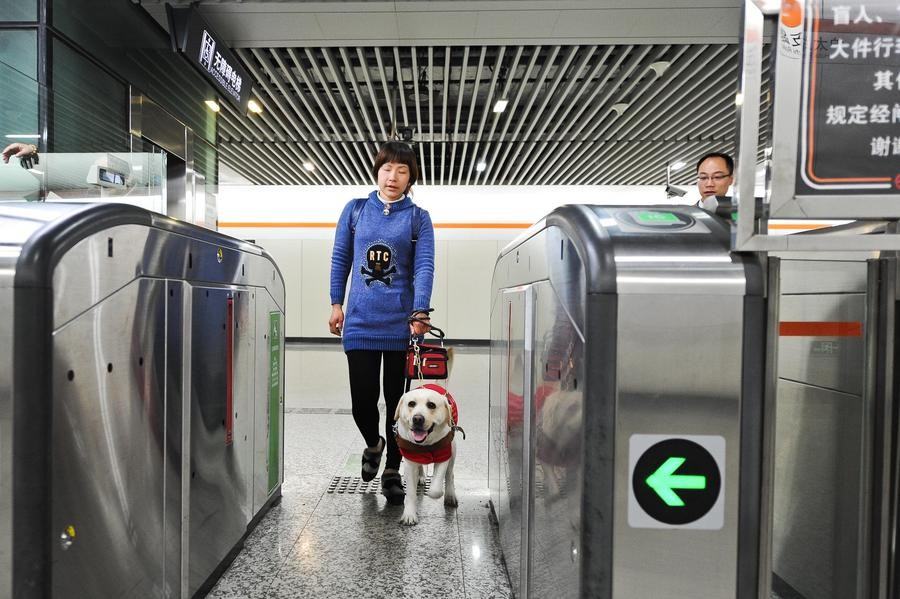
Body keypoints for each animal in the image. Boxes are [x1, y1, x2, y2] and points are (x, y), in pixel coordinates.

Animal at [396, 384, 464, 524]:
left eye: (431, 405)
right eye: (411, 404)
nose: (417, 419)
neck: (425, 444)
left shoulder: (444, 455)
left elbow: (436, 489)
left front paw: (436, 492)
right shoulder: (410, 460)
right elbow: (410, 493)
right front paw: (409, 514)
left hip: (453, 449)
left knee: (450, 474)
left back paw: (450, 495)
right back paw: (421, 476)